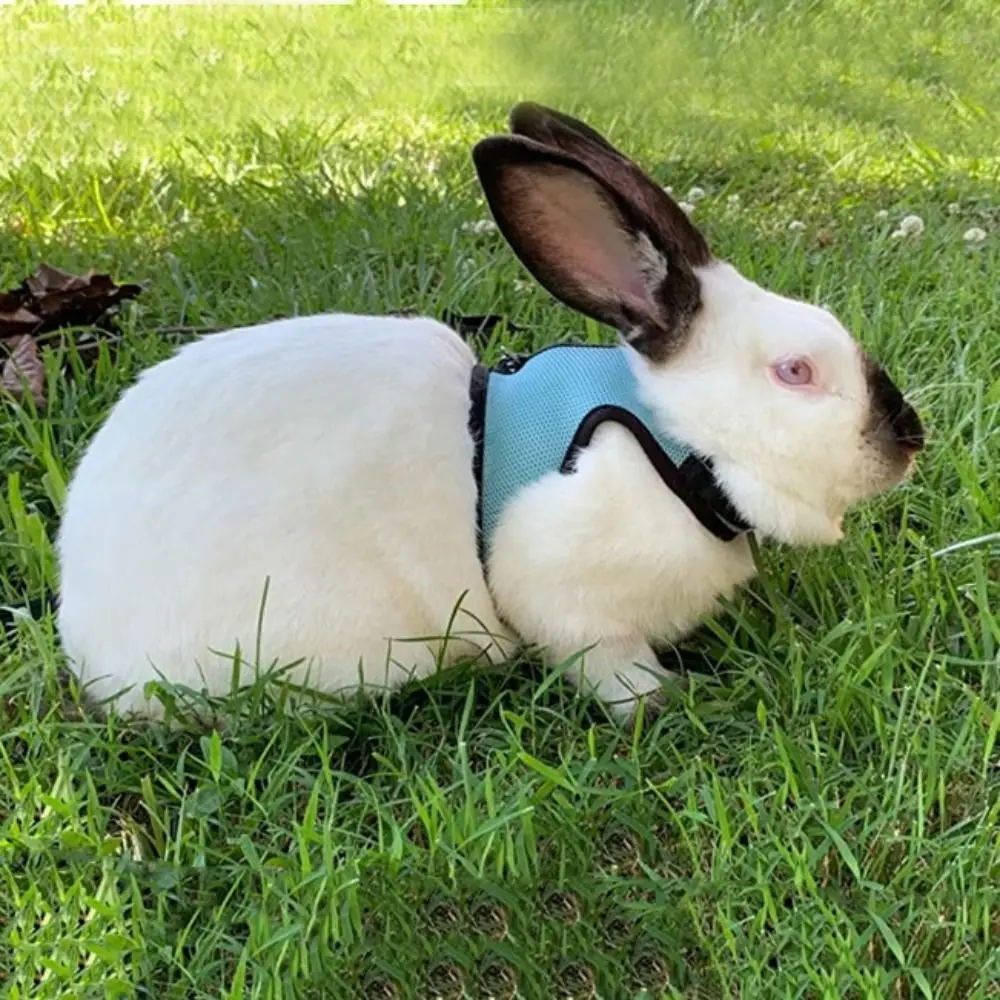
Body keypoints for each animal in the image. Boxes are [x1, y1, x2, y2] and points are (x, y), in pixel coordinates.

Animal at [55, 102, 924, 721]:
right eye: (795, 371)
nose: (909, 437)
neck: (677, 445)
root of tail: (86, 628)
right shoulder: (573, 603)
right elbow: (608, 667)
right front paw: (662, 701)